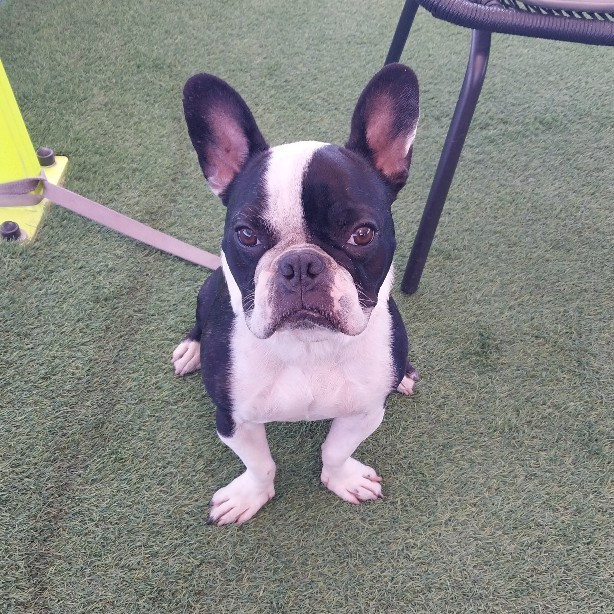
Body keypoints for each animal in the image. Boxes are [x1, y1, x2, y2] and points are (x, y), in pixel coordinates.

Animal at [172, 63, 420, 525]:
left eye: (362, 234)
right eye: (246, 235)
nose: (301, 264)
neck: (308, 346)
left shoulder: (366, 411)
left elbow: (335, 450)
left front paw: (342, 479)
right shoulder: (232, 418)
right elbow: (260, 464)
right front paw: (250, 495)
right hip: (208, 288)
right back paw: (191, 349)